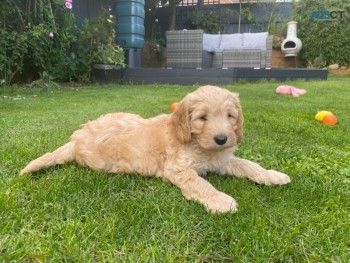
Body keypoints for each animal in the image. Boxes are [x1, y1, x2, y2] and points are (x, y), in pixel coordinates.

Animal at [20, 85, 292, 213]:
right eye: (202, 118)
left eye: (230, 116)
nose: (222, 139)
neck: (197, 143)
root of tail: (76, 140)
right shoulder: (178, 168)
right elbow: (200, 183)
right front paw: (221, 200)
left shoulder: (223, 159)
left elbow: (249, 164)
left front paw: (273, 175)